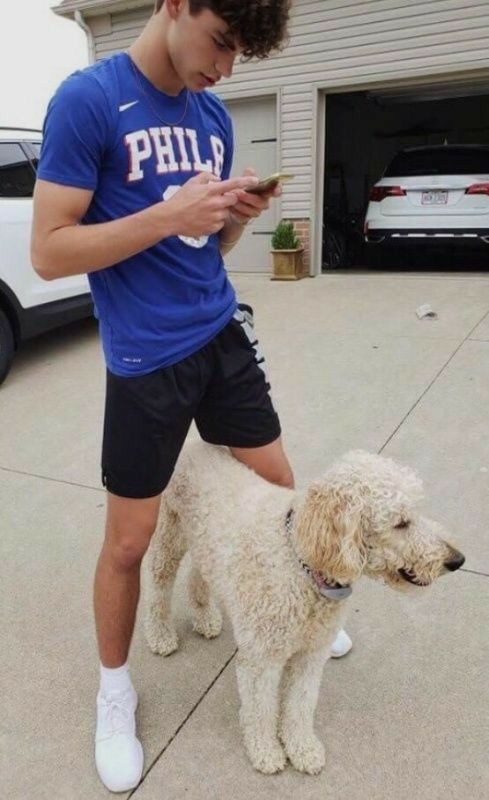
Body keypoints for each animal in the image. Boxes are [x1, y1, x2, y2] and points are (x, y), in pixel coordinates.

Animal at [143, 444, 464, 776]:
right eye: (401, 523)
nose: (457, 560)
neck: (302, 564)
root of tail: (194, 445)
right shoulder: (261, 659)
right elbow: (260, 709)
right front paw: (266, 751)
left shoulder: (311, 655)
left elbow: (301, 705)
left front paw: (303, 749)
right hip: (169, 533)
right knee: (158, 583)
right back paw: (160, 634)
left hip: (206, 545)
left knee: (198, 574)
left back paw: (205, 616)